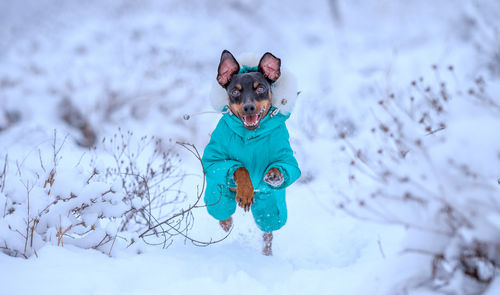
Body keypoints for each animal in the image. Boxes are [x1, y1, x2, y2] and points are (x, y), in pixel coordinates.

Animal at [200, 49, 300, 256]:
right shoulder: (214, 161)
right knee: (222, 210)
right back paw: (227, 222)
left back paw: (267, 254)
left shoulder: (287, 159)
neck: (251, 135)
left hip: (271, 206)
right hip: (217, 192)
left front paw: (274, 175)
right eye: (235, 91)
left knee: (268, 230)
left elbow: (285, 168)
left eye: (260, 88)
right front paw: (245, 191)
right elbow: (240, 168)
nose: (249, 107)